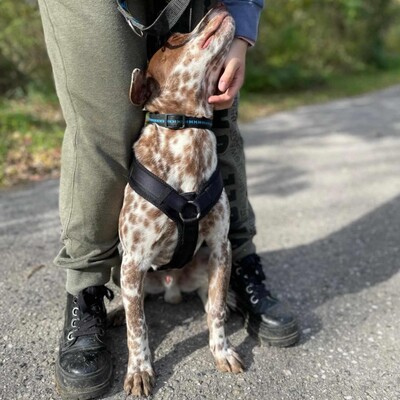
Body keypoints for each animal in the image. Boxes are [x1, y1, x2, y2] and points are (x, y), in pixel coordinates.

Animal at [118, 5, 244, 396]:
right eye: (174, 39)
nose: (220, 5)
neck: (186, 129)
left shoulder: (220, 246)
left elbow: (214, 311)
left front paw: (222, 351)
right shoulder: (133, 263)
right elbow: (137, 328)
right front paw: (139, 370)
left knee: (210, 299)